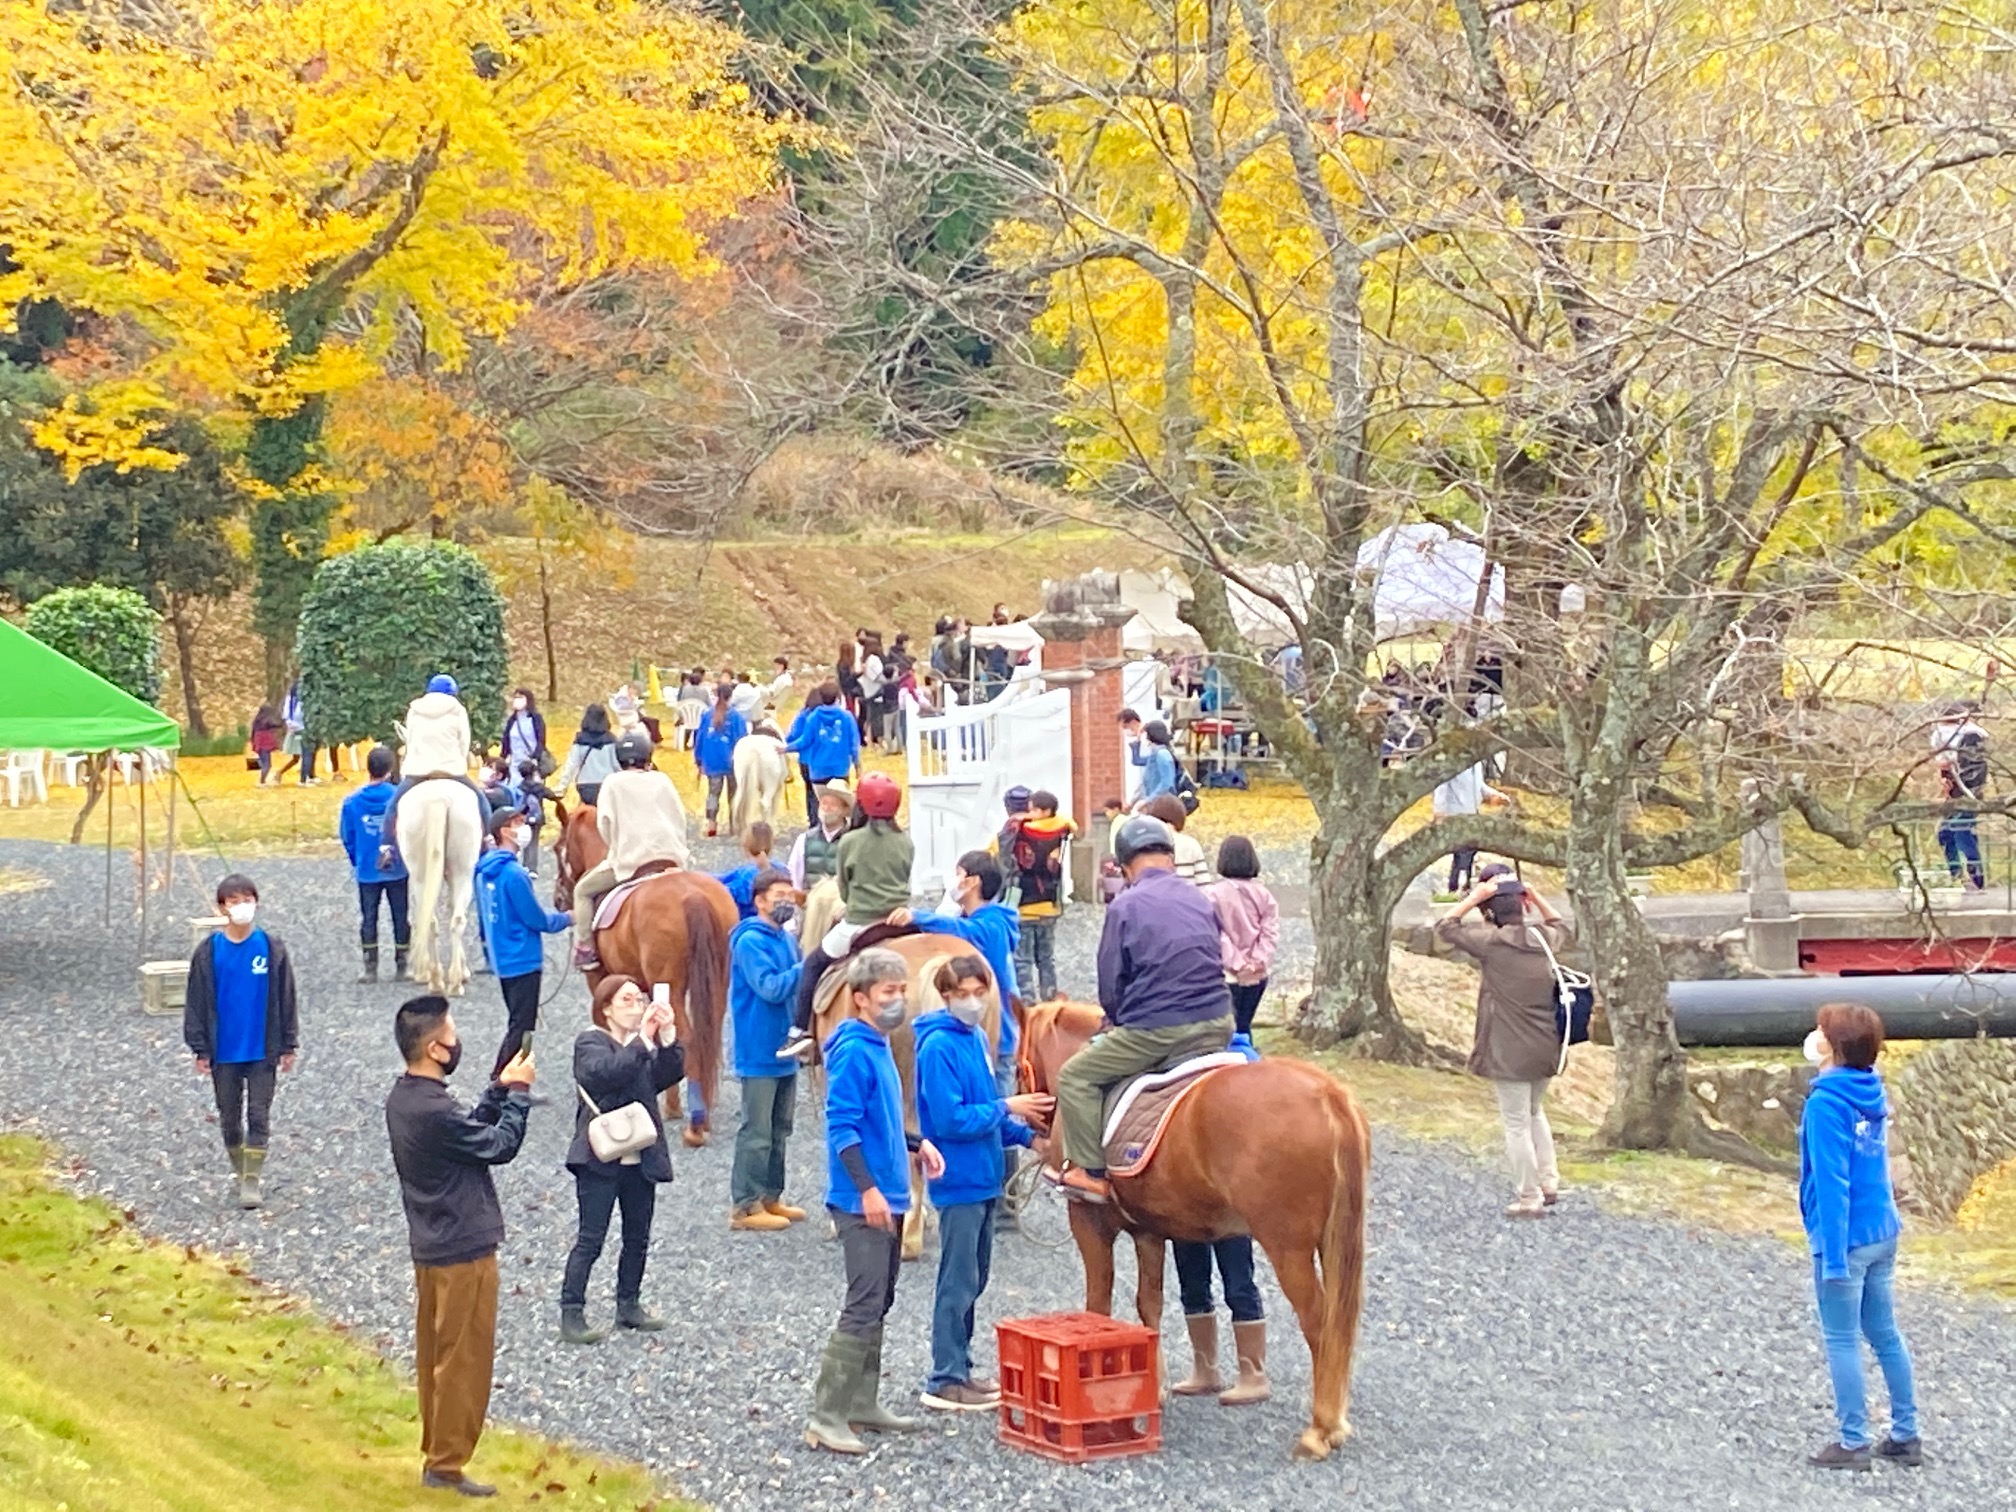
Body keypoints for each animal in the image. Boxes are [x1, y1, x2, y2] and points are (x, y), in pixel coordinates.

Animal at [397, 782, 483, 995]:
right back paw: (451, 982)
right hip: (462, 873)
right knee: (454, 920)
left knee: (433, 921)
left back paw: (438, 981)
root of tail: (439, 799)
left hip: (422, 877)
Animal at [556, 810, 737, 1145]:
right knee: (708, 1035)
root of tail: (692, 895)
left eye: (558, 847)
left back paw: (695, 1125)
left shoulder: (602, 980)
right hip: (717, 982)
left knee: (689, 1040)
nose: (559, 899)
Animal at [1024, 1008, 1370, 1467]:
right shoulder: (1148, 1232)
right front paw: (1150, 1387)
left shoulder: (1088, 1222)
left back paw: (1319, 1431)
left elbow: (1097, 1305)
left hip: (1288, 1249)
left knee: (1319, 1323)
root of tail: (1327, 1093)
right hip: (1332, 1243)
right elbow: (1149, 1306)